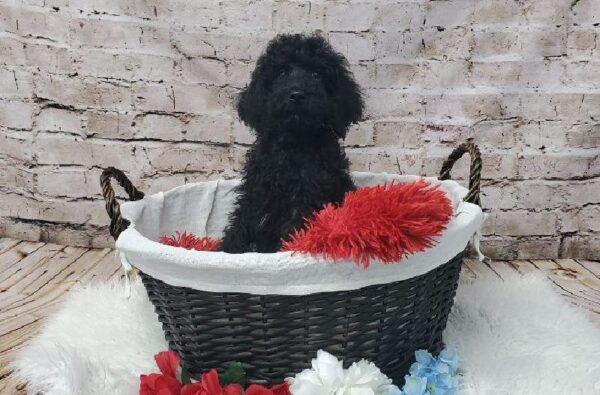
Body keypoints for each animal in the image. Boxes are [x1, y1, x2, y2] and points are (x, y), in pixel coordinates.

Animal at [219, 34, 364, 254]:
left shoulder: (305, 200)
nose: (297, 95)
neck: (294, 144)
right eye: (281, 73)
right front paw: (224, 251)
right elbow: (240, 225)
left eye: (316, 74)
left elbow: (292, 231)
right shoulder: (256, 192)